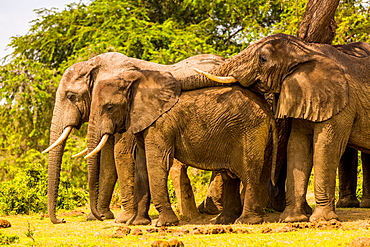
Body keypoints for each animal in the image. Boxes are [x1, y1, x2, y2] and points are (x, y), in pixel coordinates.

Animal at [41, 52, 224, 224]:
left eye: (71, 96)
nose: (61, 220)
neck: (95, 64)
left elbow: (120, 154)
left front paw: (122, 219)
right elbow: (108, 161)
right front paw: (100, 216)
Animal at [85, 67, 278, 226]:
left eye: (109, 107)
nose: (101, 217)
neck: (138, 79)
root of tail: (268, 112)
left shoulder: (160, 124)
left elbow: (157, 164)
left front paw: (164, 224)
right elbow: (141, 166)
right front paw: (137, 223)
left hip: (250, 131)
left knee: (249, 173)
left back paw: (245, 222)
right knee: (230, 176)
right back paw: (224, 221)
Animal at [194, 32, 370, 222]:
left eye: (263, 59)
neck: (307, 50)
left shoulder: (343, 102)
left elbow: (326, 148)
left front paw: (322, 220)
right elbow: (297, 147)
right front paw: (291, 219)